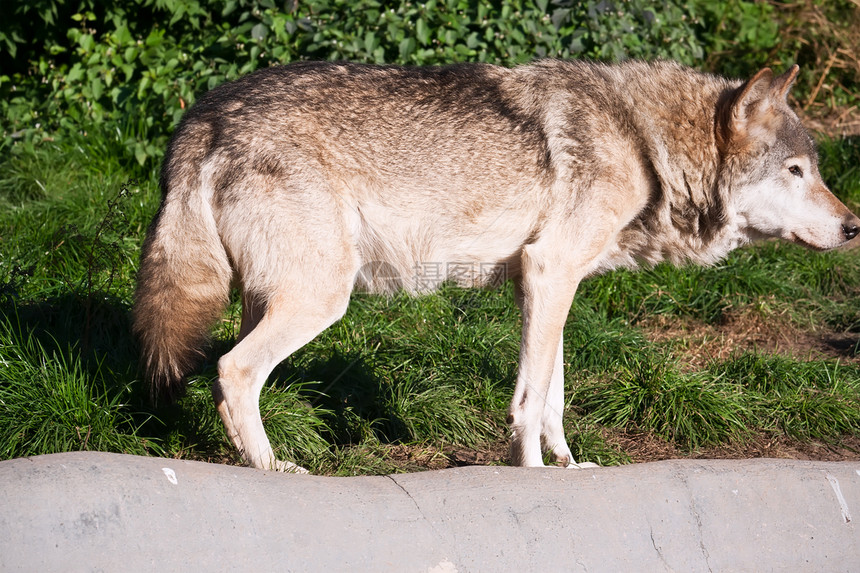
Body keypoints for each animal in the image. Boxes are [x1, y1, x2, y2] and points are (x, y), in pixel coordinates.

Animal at [133, 58, 860, 472]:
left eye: (816, 170)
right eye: (796, 171)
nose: (855, 226)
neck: (643, 141)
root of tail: (202, 116)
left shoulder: (547, 284)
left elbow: (555, 395)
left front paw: (570, 466)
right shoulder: (549, 270)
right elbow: (529, 398)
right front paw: (529, 471)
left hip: (269, 296)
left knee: (232, 372)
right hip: (320, 299)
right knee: (233, 370)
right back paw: (273, 469)